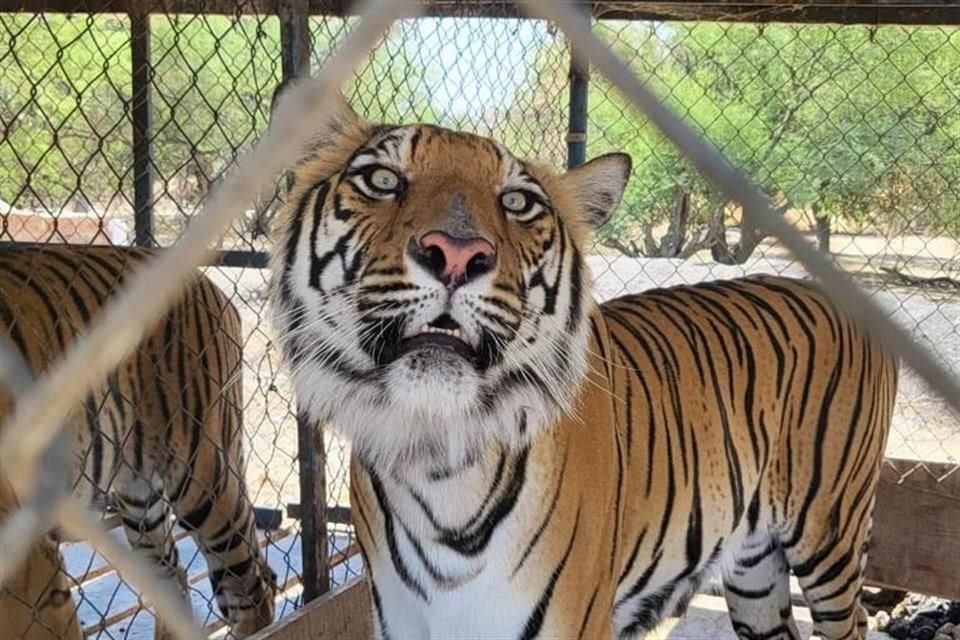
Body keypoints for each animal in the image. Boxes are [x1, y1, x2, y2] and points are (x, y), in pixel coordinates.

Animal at [270, 95, 900, 640]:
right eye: (382, 180)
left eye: (517, 203)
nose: (455, 254)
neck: (440, 461)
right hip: (755, 569)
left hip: (830, 534)